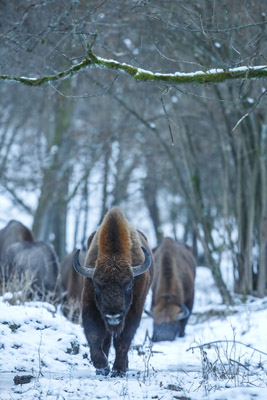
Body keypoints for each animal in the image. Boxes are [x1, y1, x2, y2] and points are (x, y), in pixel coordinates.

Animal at [73, 208, 154, 376]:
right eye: (97, 286)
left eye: (129, 285)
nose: (113, 315)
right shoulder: (90, 303)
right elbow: (95, 335)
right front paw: (102, 366)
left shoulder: (134, 310)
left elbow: (123, 340)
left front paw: (119, 369)